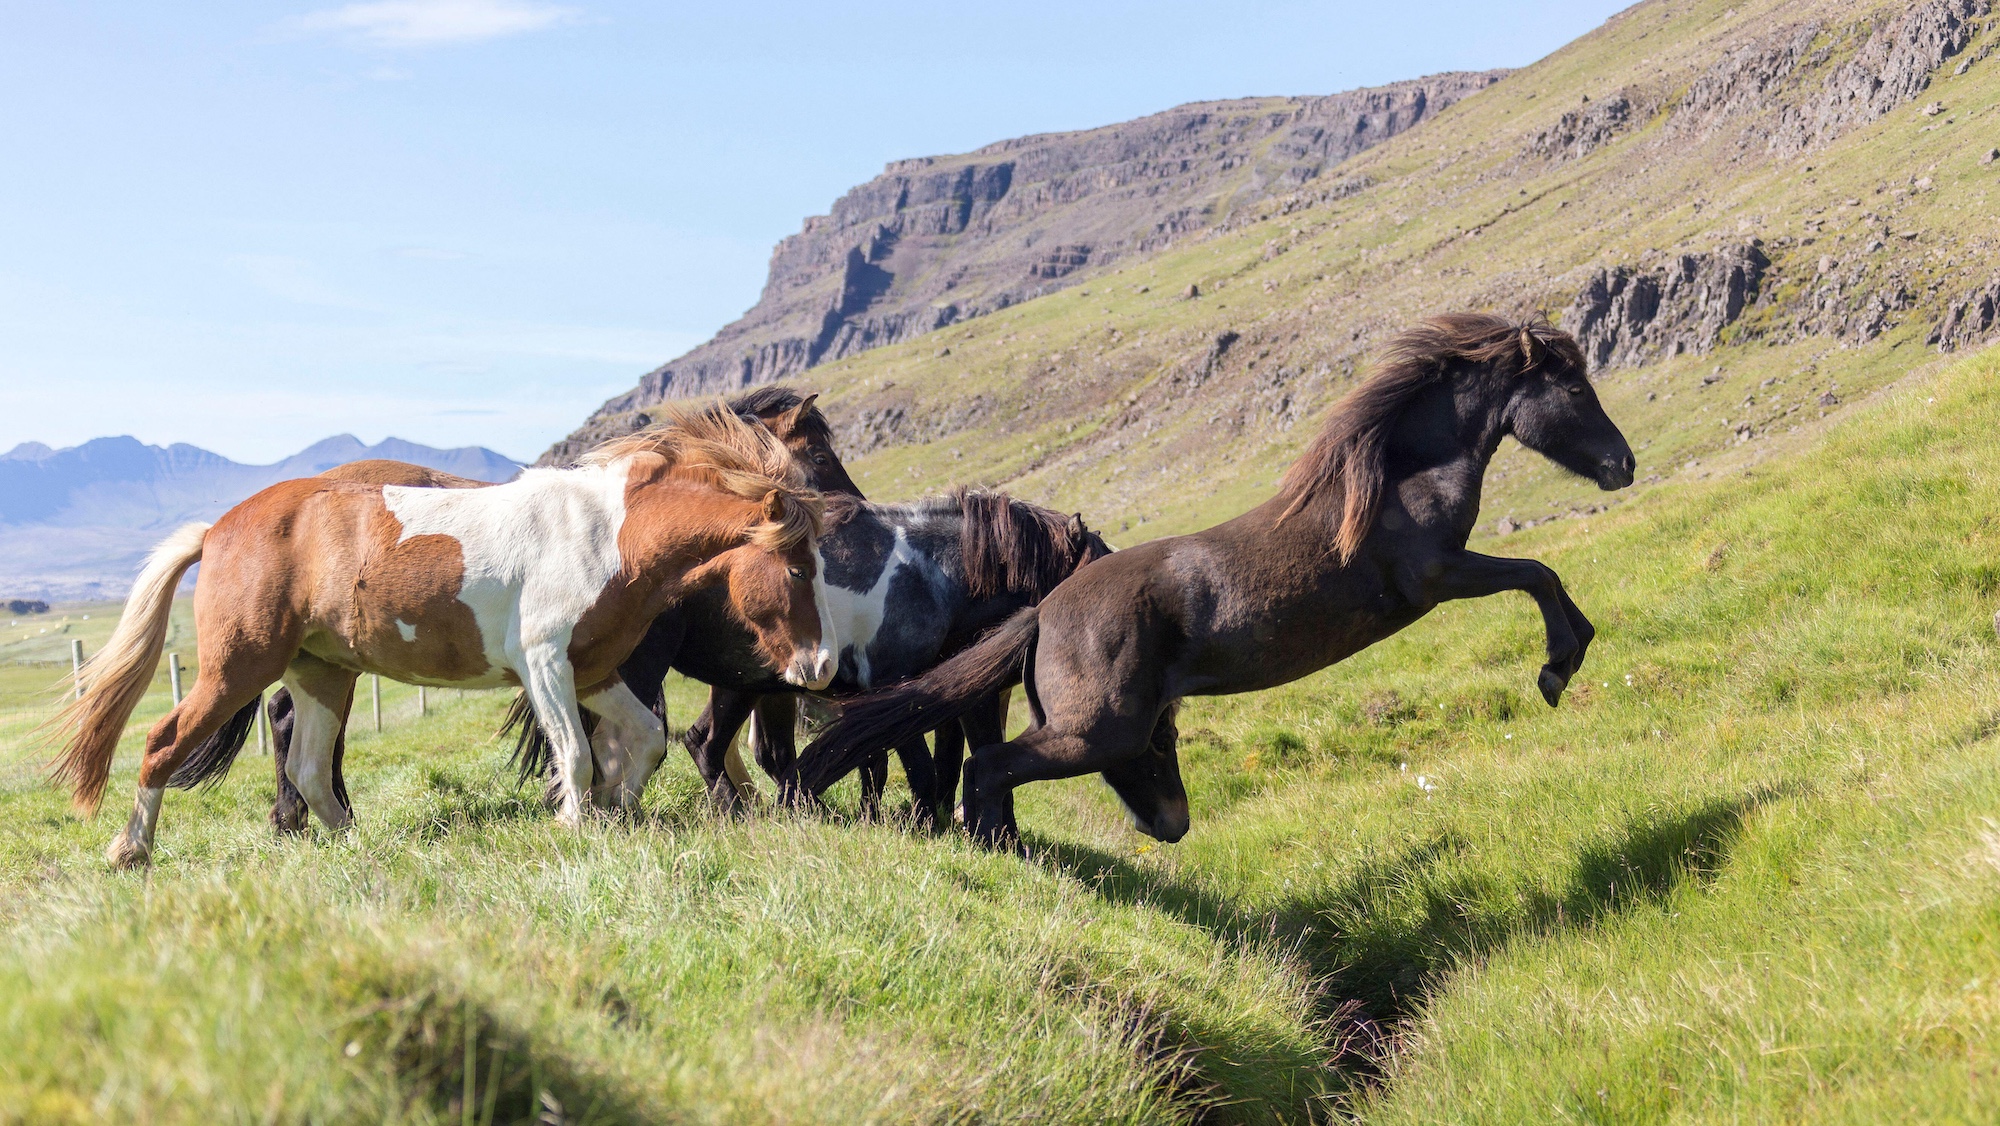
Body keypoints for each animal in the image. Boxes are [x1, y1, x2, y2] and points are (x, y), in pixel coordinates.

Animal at [49, 402, 832, 867]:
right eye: (797, 567)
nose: (821, 667)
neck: (610, 533)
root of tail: (217, 529)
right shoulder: (545, 666)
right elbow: (578, 755)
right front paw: (575, 823)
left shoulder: (595, 670)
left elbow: (642, 741)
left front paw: (618, 810)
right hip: (238, 667)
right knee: (163, 743)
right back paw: (130, 850)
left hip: (322, 672)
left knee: (308, 766)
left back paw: (354, 846)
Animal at [507, 488, 1114, 828]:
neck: (928, 570)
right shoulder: (896, 683)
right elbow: (912, 763)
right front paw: (923, 824)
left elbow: (893, 759)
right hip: (651, 670)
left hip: (742, 682)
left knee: (704, 743)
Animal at [794, 313, 1636, 850]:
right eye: (1574, 389)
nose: (1622, 465)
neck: (1397, 476)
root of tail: (1043, 615)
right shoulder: (1436, 576)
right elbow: (1537, 573)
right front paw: (1558, 667)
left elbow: (1542, 576)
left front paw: (1569, 657)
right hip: (1097, 731)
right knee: (988, 769)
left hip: (1113, 734)